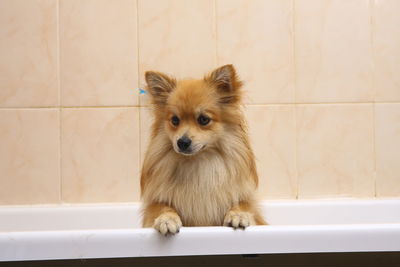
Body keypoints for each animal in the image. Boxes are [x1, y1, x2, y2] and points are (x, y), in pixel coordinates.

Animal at [141, 64, 266, 234]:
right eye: (175, 120)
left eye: (203, 120)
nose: (182, 142)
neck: (198, 163)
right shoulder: (156, 203)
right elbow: (161, 207)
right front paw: (166, 218)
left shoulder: (245, 202)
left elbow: (243, 205)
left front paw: (239, 215)